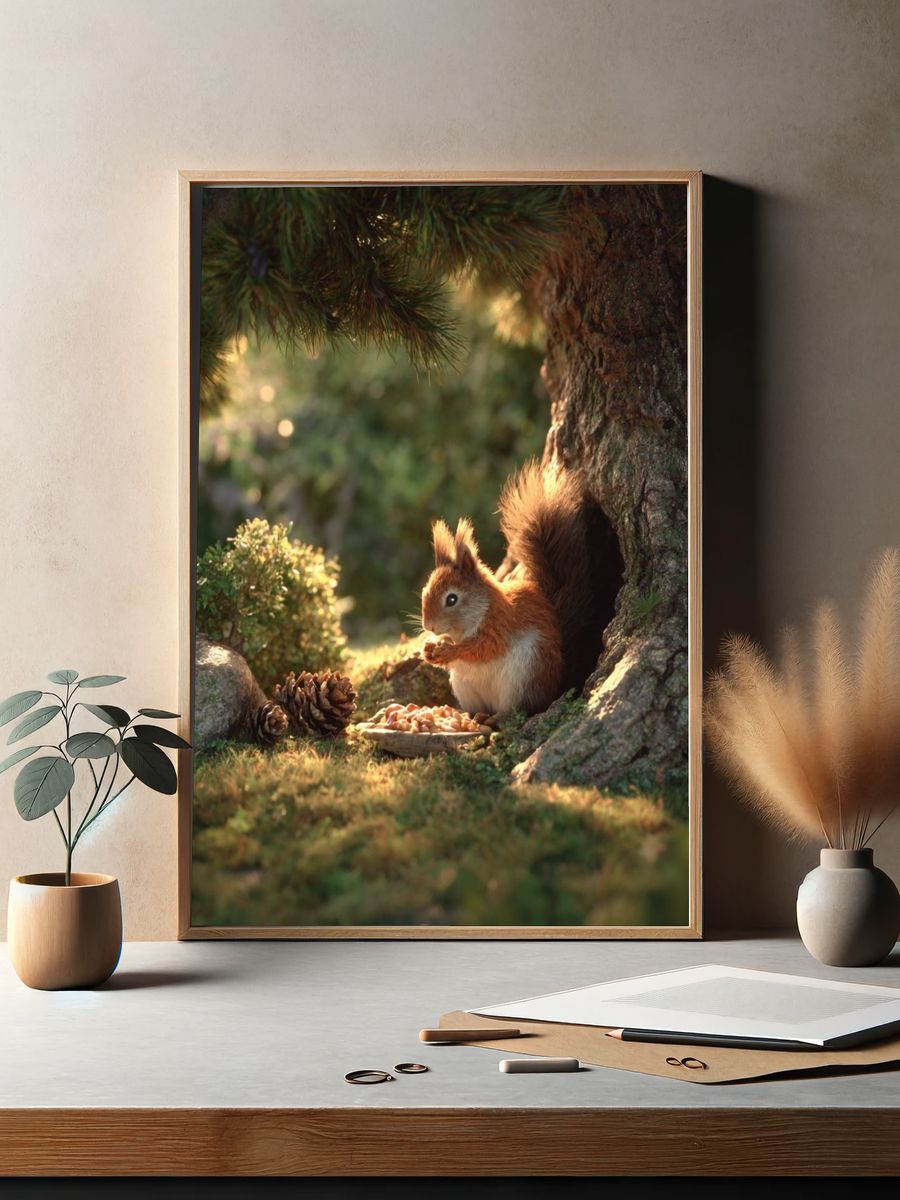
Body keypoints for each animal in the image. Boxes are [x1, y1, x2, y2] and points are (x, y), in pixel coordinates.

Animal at [421, 460, 601, 718]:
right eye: (424, 592)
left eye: (452, 599)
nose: (429, 626)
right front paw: (429, 648)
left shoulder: (501, 625)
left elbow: (484, 648)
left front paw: (449, 651)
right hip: (465, 686)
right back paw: (468, 715)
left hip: (524, 677)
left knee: (520, 709)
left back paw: (498, 717)